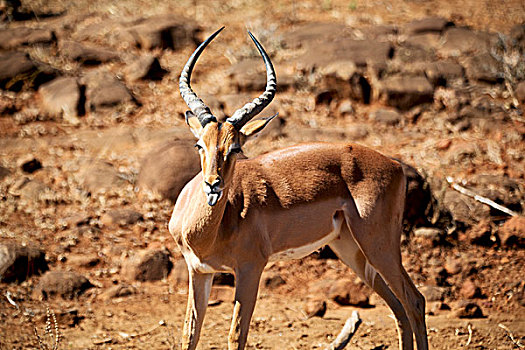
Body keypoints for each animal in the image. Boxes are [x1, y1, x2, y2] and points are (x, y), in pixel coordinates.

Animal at [170, 28, 428, 350]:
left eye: (236, 148)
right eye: (199, 145)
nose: (213, 184)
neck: (209, 233)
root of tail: (394, 165)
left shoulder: (250, 269)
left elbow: (236, 335)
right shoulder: (199, 271)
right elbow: (189, 332)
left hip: (379, 245)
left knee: (414, 301)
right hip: (352, 250)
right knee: (398, 308)